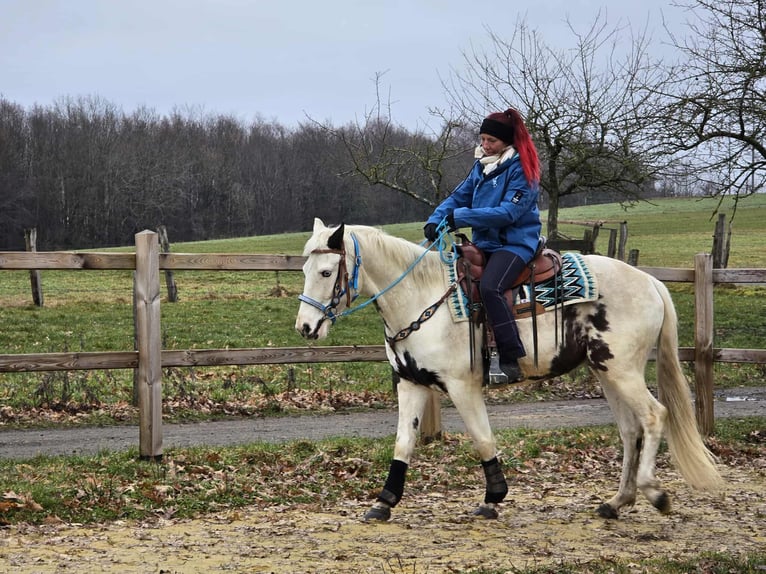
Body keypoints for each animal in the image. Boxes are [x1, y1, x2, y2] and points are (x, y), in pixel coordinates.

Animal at [295, 218, 723, 522]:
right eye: (305, 270)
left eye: (326, 272)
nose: (305, 327)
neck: (421, 296)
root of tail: (650, 281)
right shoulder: (411, 384)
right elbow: (403, 443)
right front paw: (384, 502)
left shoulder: (462, 386)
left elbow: (483, 439)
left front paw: (492, 498)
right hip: (606, 371)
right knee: (630, 430)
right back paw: (617, 502)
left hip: (623, 370)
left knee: (654, 416)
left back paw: (655, 492)